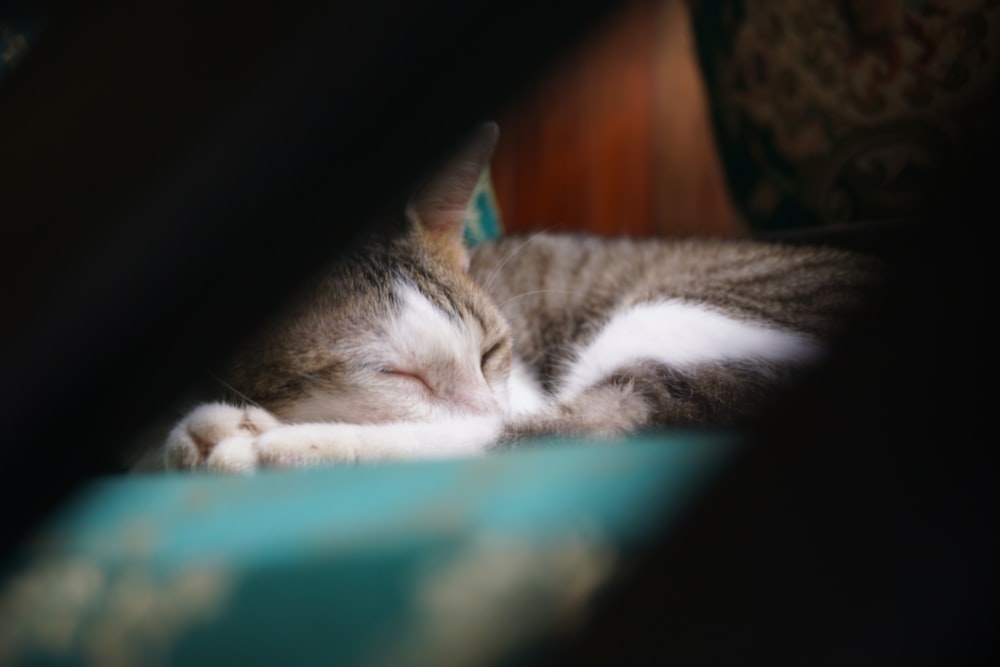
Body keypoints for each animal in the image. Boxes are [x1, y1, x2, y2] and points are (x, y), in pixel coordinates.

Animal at [162, 122, 884, 472]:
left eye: (492, 352)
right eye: (399, 375)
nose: (491, 397)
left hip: (674, 314)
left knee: (587, 427)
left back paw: (264, 442)